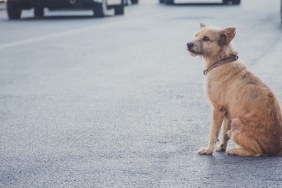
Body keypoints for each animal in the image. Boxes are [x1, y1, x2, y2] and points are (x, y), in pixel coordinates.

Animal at [187, 22, 282, 156]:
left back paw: (235, 151)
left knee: (257, 152)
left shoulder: (218, 108)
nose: (188, 44)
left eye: (206, 38)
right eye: (196, 35)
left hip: (237, 123)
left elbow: (213, 132)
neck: (221, 61)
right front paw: (221, 147)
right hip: (234, 120)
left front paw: (208, 150)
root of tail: (278, 148)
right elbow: (223, 133)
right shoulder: (228, 113)